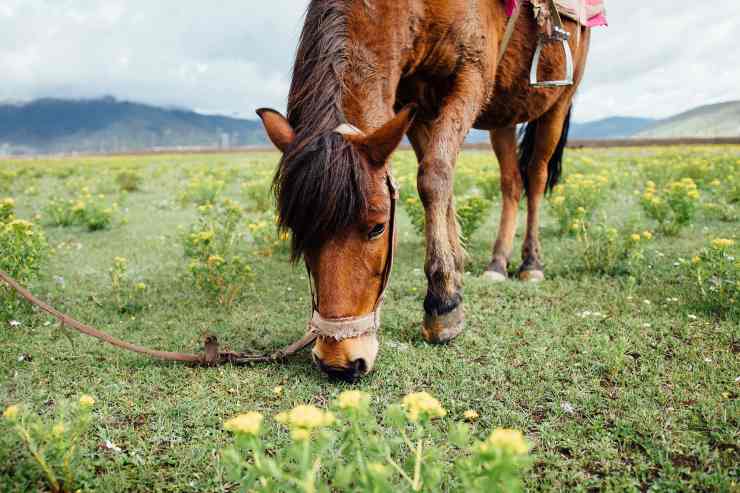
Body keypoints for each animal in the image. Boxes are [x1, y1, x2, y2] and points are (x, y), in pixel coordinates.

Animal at [257, 0, 591, 381]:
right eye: (297, 231)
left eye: (378, 228)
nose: (339, 361)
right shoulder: (413, 100)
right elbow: (439, 178)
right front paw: (455, 269)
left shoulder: (472, 75)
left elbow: (433, 176)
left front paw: (443, 303)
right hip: (503, 113)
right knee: (511, 181)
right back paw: (497, 262)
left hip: (557, 101)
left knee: (534, 175)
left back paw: (531, 262)